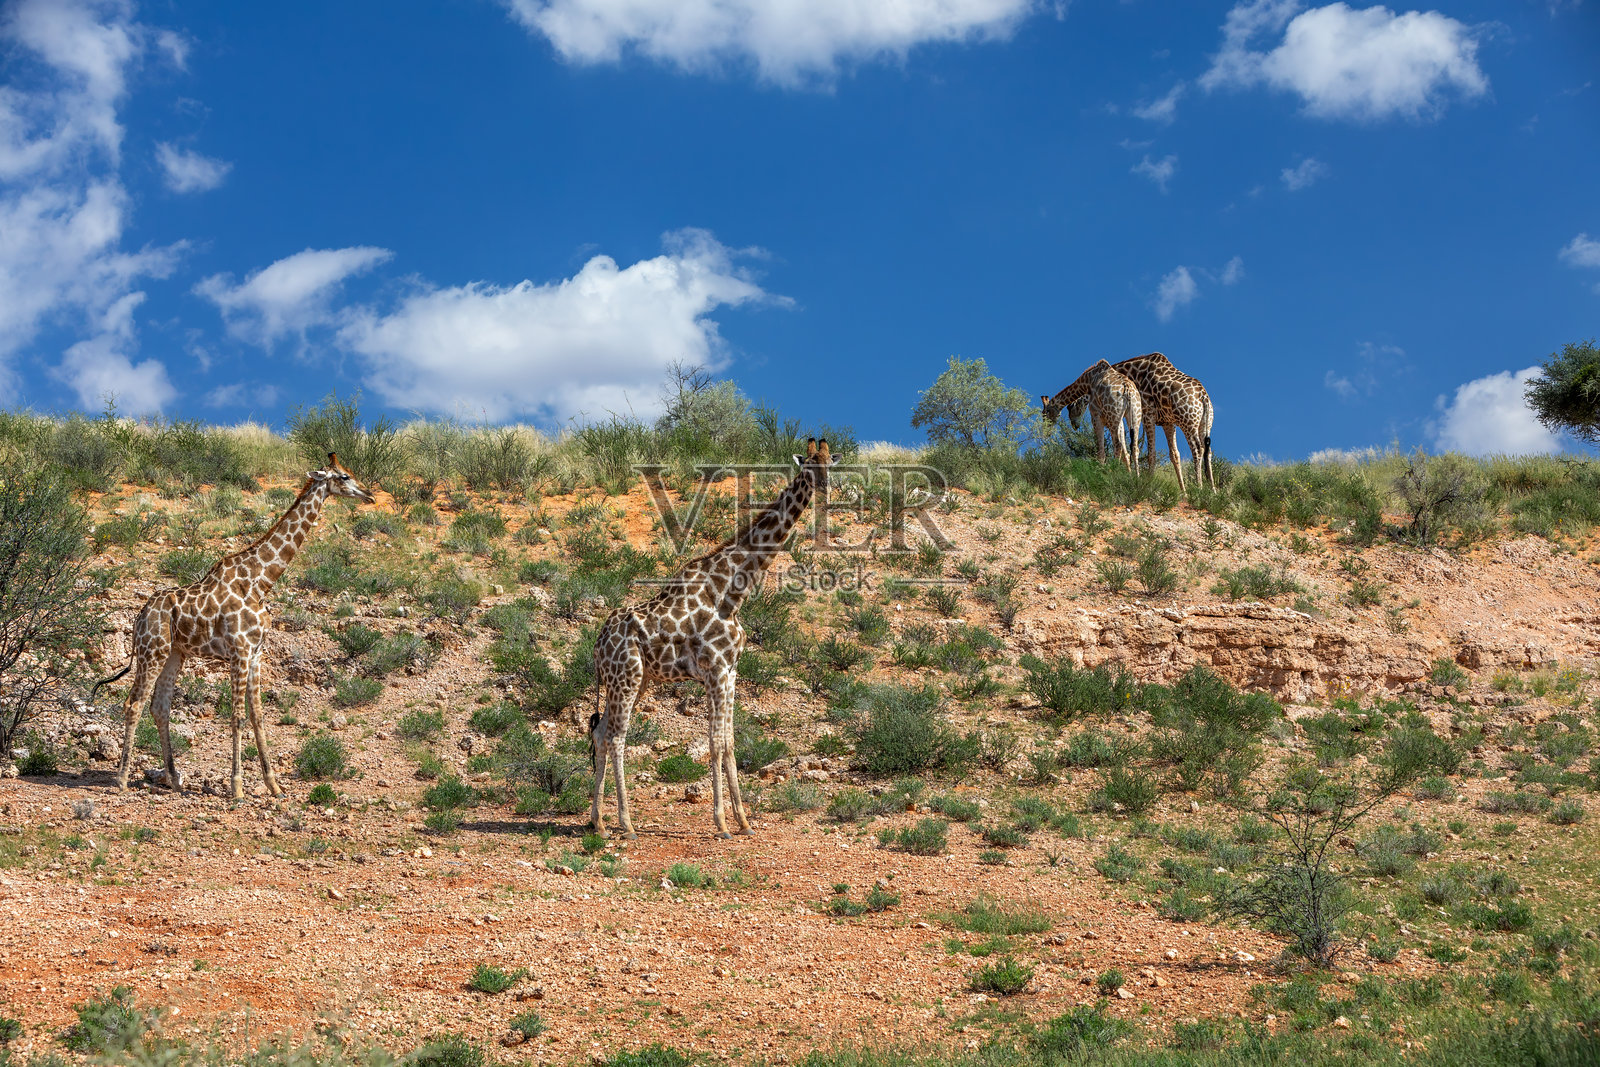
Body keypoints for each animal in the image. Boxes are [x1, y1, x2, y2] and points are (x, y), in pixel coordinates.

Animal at [89, 454, 375, 799]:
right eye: (344, 476)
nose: (369, 495)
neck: (260, 581)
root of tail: (140, 615)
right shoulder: (239, 651)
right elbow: (237, 717)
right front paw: (237, 786)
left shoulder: (256, 653)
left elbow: (258, 715)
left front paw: (274, 786)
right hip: (151, 651)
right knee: (133, 704)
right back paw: (120, 779)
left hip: (174, 654)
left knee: (160, 706)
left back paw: (173, 779)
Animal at [588, 438, 840, 840]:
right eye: (809, 466)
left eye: (831, 463)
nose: (826, 489)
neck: (731, 591)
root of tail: (597, 645)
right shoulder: (716, 670)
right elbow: (716, 743)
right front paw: (722, 823)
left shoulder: (731, 671)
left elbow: (730, 741)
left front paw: (744, 822)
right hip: (625, 676)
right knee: (616, 737)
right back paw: (626, 824)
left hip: (635, 680)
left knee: (599, 734)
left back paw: (598, 822)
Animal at [1110, 352, 1215, 493]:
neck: (1135, 375)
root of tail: (1204, 397)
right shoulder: (1168, 422)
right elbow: (1174, 454)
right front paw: (1184, 493)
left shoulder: (1148, 414)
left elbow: (1151, 453)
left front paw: (1148, 485)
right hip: (1204, 424)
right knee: (1208, 451)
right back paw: (1213, 491)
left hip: (1188, 422)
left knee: (1198, 449)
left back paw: (1199, 488)